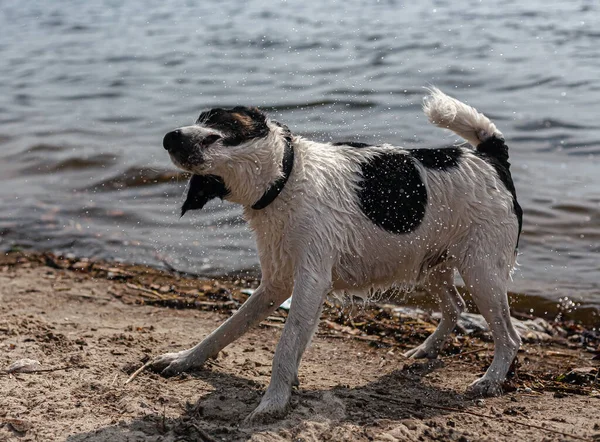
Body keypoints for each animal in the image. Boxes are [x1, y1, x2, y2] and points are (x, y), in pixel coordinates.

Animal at [154, 88, 520, 424]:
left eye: (217, 123)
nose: (169, 137)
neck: (286, 179)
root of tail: (490, 159)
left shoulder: (310, 281)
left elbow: (286, 344)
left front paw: (272, 402)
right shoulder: (276, 285)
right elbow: (227, 329)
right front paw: (185, 359)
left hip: (482, 272)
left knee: (510, 337)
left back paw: (490, 380)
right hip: (434, 265)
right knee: (456, 306)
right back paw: (428, 348)